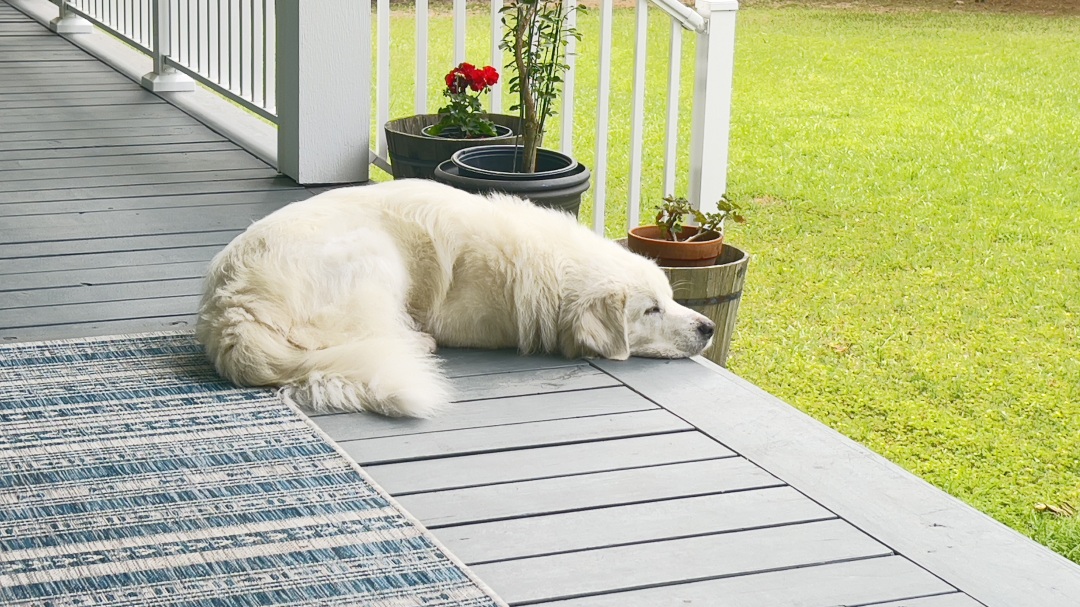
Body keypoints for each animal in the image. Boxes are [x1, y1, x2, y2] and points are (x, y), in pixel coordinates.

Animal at [195, 179, 717, 414]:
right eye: (650, 310)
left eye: (670, 299)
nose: (708, 327)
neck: (551, 264)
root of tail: (232, 311)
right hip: (373, 255)